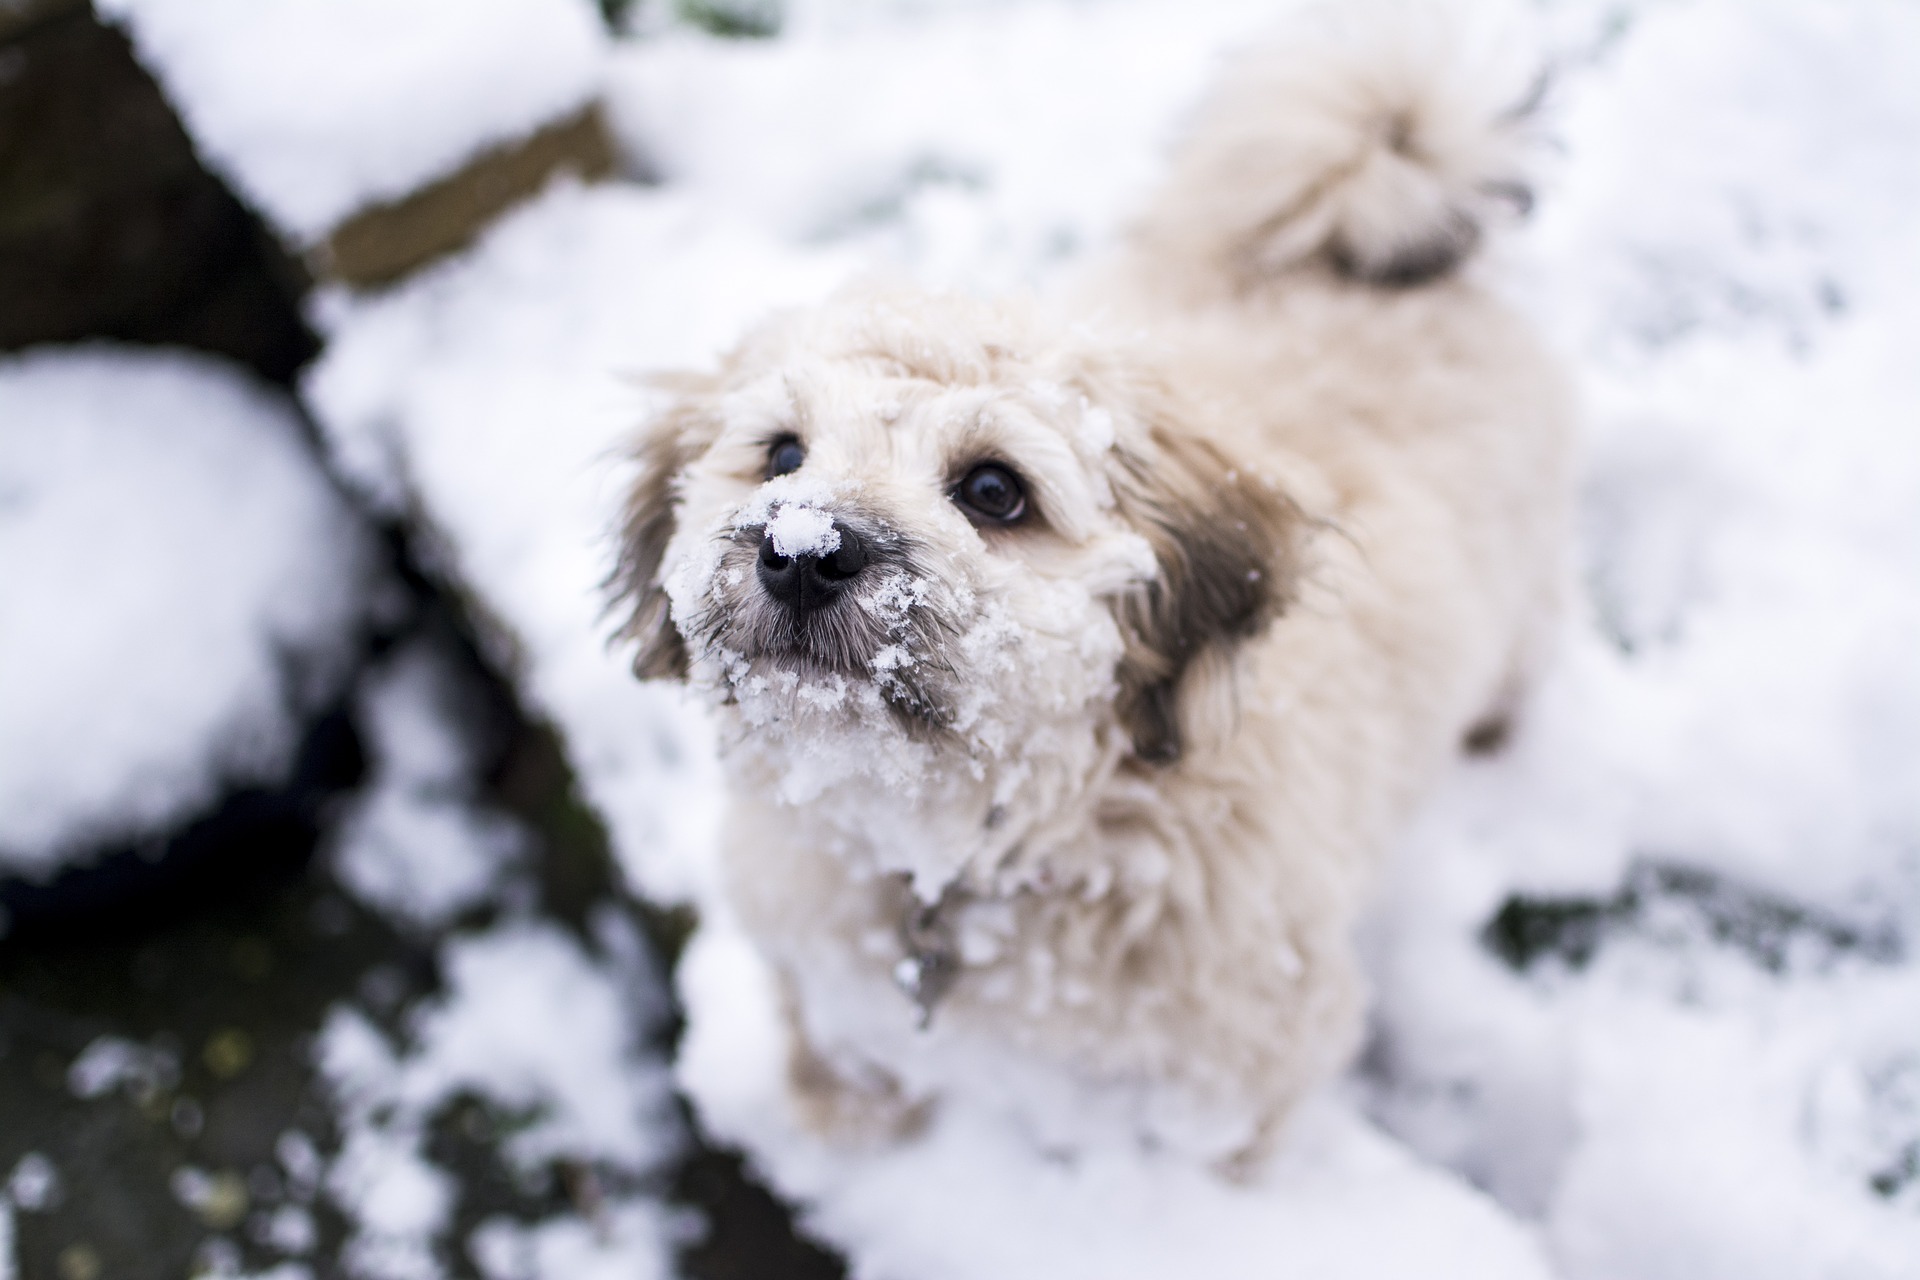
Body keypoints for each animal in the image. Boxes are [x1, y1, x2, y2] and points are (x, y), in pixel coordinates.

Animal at [622, 7, 1566, 1174]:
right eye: (782, 454)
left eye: (995, 489)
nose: (802, 552)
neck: (969, 856)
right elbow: (837, 1045)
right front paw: (847, 1126)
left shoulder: (1248, 1068)